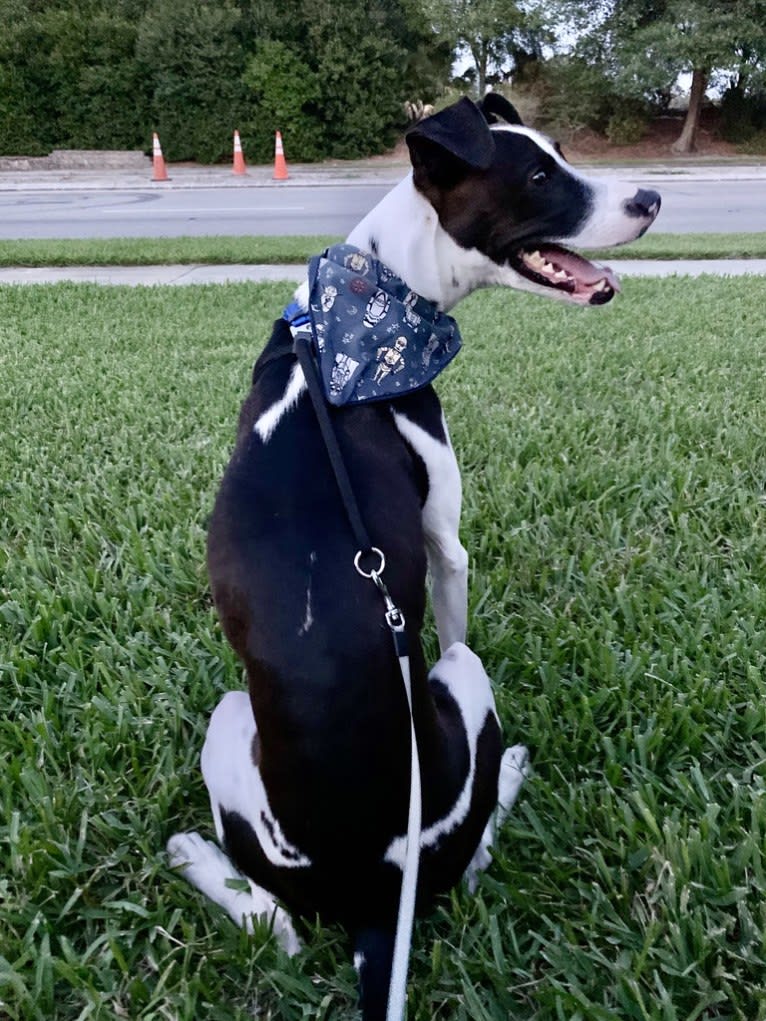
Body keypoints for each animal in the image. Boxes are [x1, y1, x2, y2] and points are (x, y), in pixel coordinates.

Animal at [166, 97, 661, 1021]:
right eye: (537, 175)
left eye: (559, 153)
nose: (650, 197)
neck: (369, 312)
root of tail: (372, 896)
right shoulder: (445, 545)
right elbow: (457, 599)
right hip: (417, 686)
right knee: (470, 848)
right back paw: (509, 768)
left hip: (233, 735)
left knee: (272, 921)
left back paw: (190, 853)